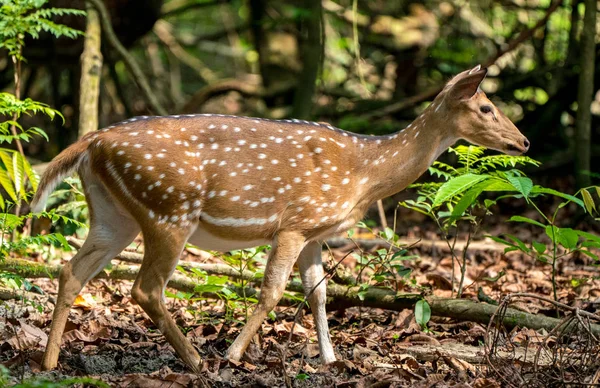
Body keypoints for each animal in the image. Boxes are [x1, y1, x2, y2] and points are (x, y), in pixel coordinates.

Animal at [32, 65, 528, 372]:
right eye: (486, 107)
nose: (523, 142)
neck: (364, 174)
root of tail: (91, 142)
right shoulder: (295, 221)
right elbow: (272, 291)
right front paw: (234, 355)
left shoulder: (315, 232)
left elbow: (319, 293)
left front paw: (330, 359)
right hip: (169, 209)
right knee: (145, 288)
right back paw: (197, 360)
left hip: (114, 214)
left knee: (70, 270)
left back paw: (50, 361)